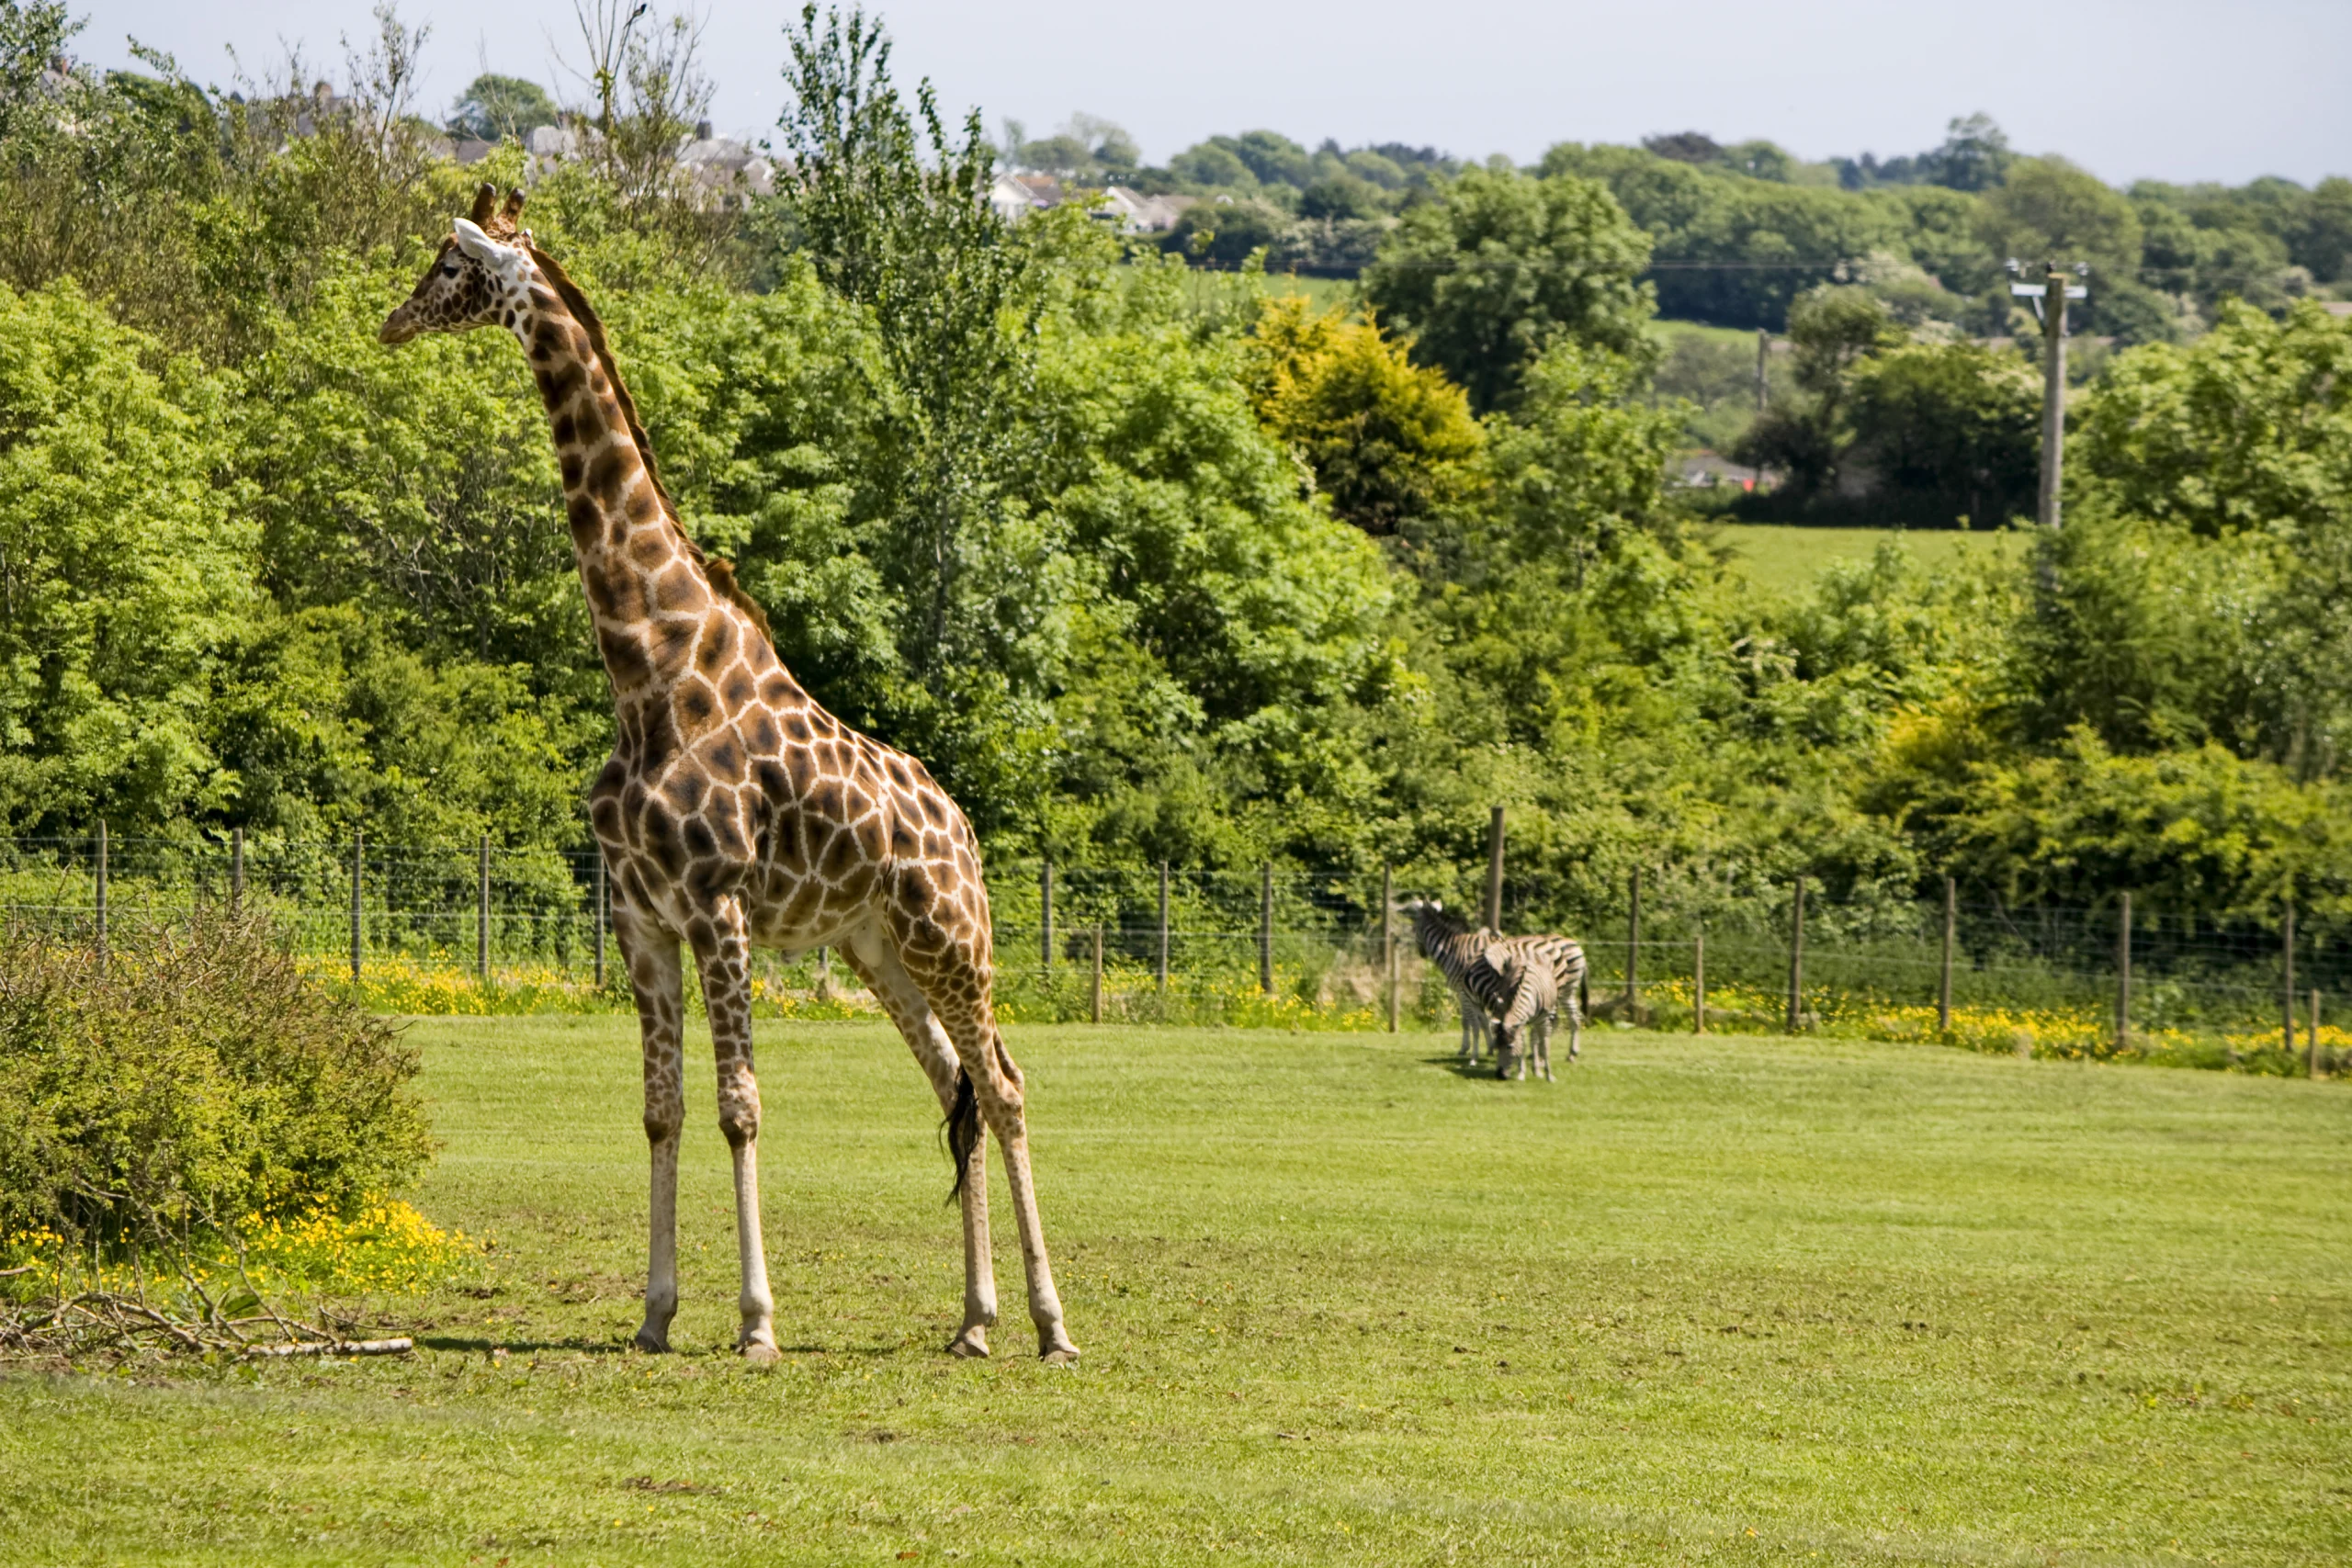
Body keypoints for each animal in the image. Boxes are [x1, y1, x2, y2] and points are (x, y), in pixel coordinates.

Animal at [380, 184, 1077, 1363]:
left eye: (448, 266)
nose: (391, 321)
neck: (649, 670)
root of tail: (963, 827)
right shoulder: (640, 917)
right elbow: (661, 1110)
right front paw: (655, 1314)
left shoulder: (717, 906)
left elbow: (739, 1106)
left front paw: (755, 1322)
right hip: (876, 946)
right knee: (955, 1084)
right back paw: (974, 1321)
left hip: (952, 935)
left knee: (1006, 1085)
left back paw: (1048, 1323)